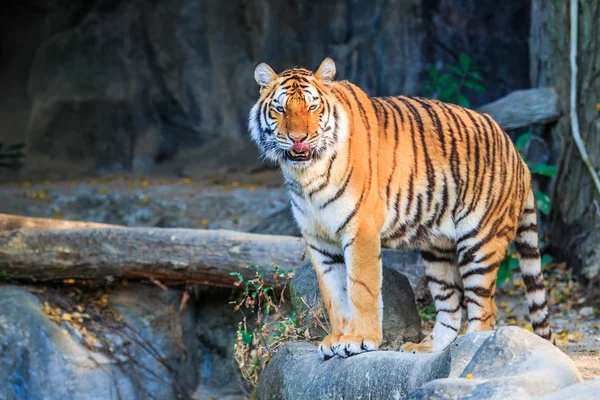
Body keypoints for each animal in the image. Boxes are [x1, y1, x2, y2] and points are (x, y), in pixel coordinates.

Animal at [248, 57, 552, 360]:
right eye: (280, 109)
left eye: (312, 107)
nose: (298, 138)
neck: (306, 175)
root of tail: (518, 155)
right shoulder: (318, 239)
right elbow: (333, 295)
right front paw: (335, 339)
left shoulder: (361, 229)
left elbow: (361, 288)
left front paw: (359, 340)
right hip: (438, 251)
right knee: (450, 307)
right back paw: (428, 349)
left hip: (480, 241)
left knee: (486, 309)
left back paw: (470, 348)